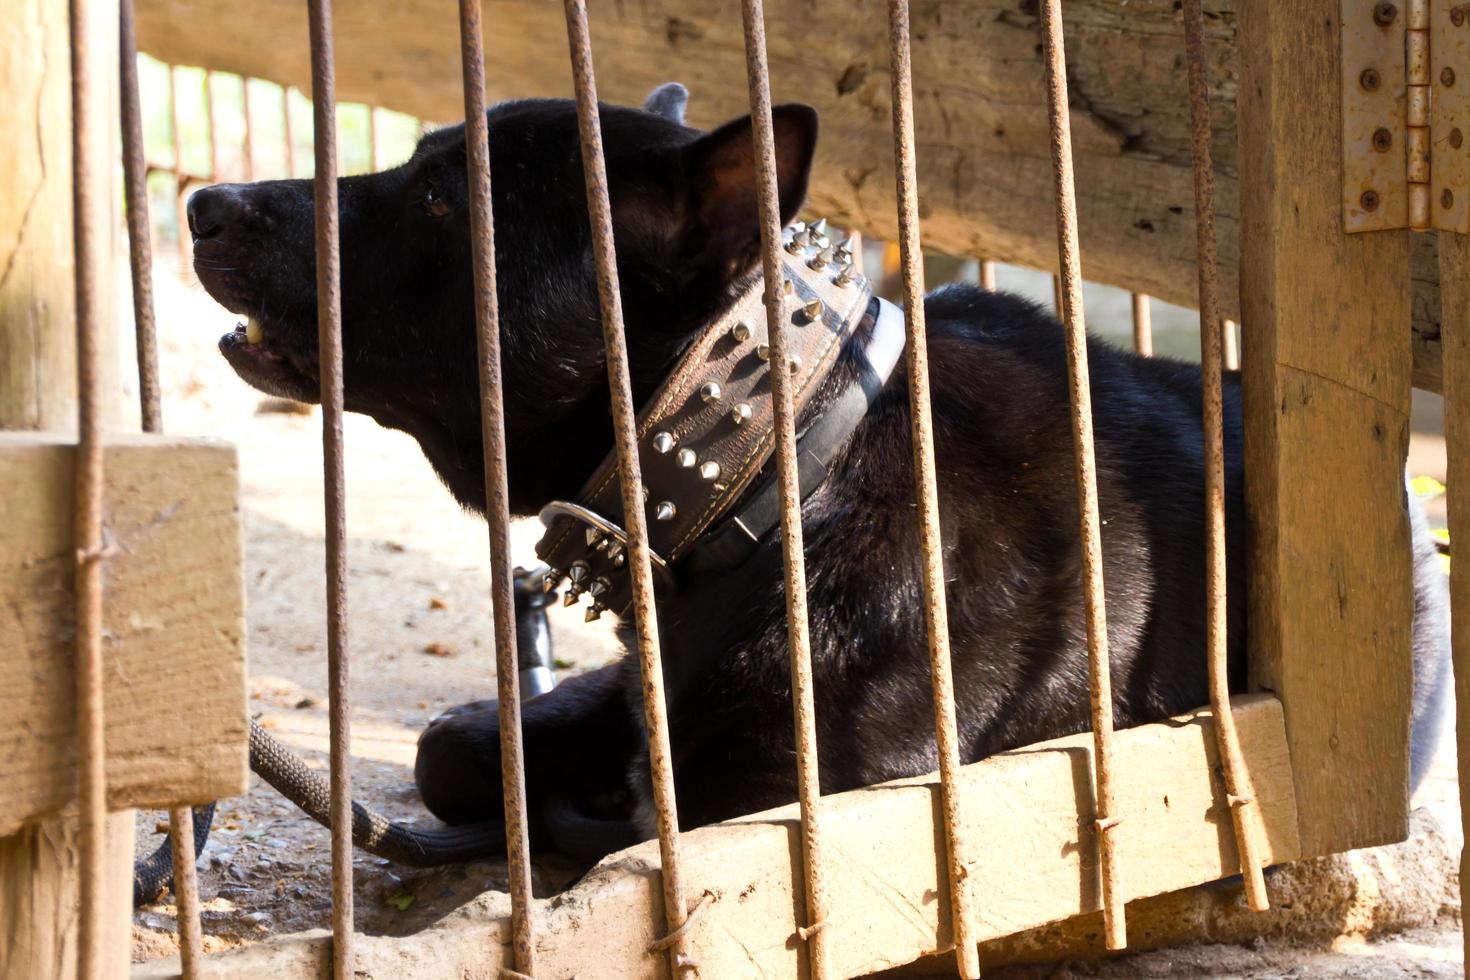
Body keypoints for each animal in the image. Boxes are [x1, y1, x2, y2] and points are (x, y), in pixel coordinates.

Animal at [186, 84, 1446, 863]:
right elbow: (453, 747)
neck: (778, 465)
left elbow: (636, 813)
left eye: (444, 198)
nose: (204, 201)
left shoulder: (796, 790)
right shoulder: (639, 690)